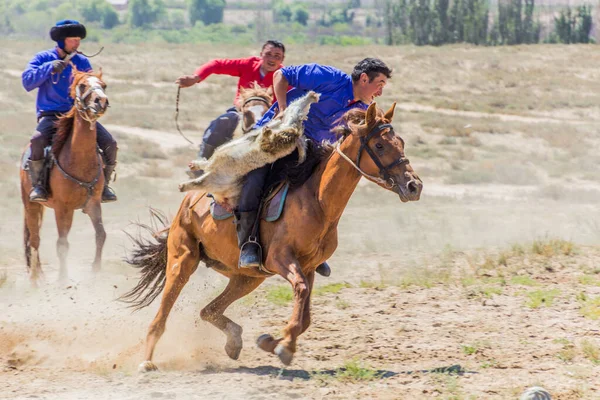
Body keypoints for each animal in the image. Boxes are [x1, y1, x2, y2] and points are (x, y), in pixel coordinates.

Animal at [19, 68, 110, 284]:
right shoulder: (62, 208)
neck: (79, 160)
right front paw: (62, 280)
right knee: (34, 240)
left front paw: (95, 272)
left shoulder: (93, 203)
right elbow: (62, 244)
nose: (101, 101)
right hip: (31, 205)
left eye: (103, 85)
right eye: (82, 85)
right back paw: (34, 280)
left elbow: (100, 235)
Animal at [122, 101, 422, 370]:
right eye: (380, 145)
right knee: (161, 316)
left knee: (209, 310)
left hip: (246, 278)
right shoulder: (281, 259)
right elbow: (300, 293)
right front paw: (285, 346)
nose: (414, 186)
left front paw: (271, 342)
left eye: (401, 142)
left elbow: (306, 316)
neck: (317, 200)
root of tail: (188, 202)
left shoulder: (309, 267)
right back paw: (147, 361)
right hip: (182, 261)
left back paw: (234, 342)